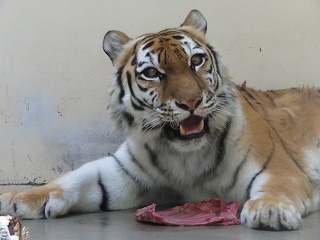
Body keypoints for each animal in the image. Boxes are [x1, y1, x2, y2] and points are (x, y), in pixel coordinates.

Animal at [0, 9, 320, 231]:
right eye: (152, 73)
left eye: (196, 61)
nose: (191, 103)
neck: (185, 155)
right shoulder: (122, 172)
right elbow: (72, 178)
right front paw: (15, 199)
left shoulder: (279, 167)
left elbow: (276, 186)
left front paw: (270, 211)